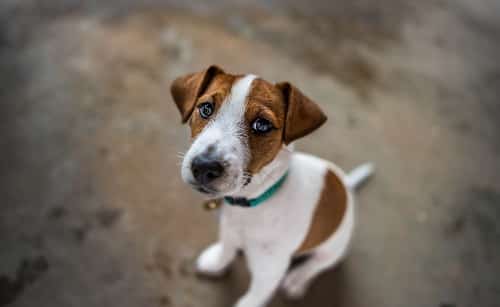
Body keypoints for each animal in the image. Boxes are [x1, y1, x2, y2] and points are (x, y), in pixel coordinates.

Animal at [170, 65, 374, 307]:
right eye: (206, 109)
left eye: (262, 125)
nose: (204, 167)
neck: (253, 203)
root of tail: (346, 185)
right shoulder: (229, 228)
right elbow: (227, 247)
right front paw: (217, 261)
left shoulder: (269, 274)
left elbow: (252, 299)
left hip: (332, 248)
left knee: (318, 264)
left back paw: (297, 279)